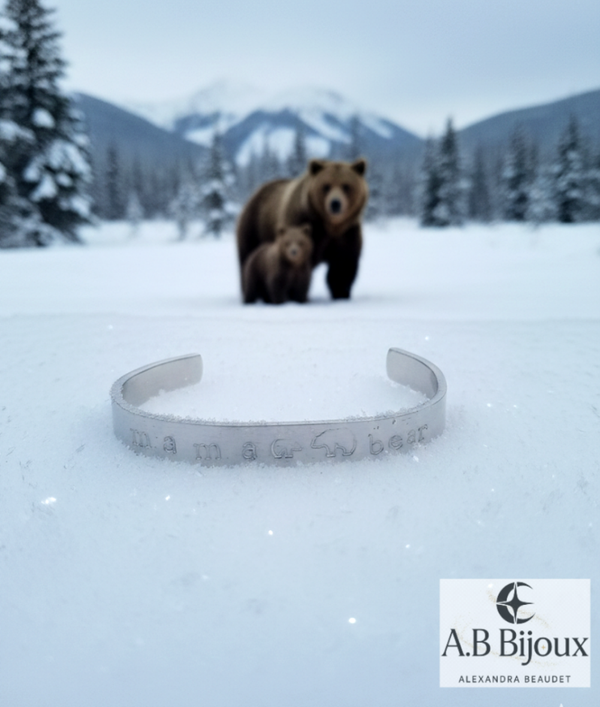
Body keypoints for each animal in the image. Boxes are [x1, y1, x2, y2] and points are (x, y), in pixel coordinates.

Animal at [237, 158, 368, 300]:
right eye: (326, 186)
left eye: (346, 186)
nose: (335, 203)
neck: (329, 225)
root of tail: (255, 193)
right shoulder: (302, 222)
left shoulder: (347, 233)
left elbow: (343, 266)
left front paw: (341, 293)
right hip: (254, 228)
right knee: (247, 258)